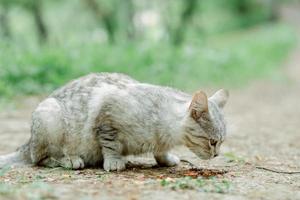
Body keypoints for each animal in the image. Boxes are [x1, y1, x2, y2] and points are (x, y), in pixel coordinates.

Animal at [0, 72, 229, 171]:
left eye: (221, 142)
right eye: (212, 142)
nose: (217, 154)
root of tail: (26, 143)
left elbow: (160, 150)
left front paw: (165, 158)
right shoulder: (106, 116)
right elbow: (110, 144)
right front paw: (113, 161)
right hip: (49, 116)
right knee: (40, 159)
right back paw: (69, 160)